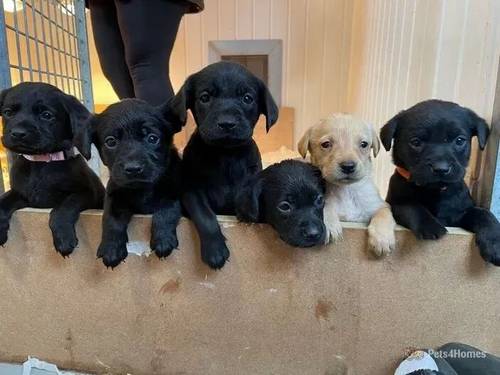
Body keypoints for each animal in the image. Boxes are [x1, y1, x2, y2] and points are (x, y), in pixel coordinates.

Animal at [0, 83, 104, 256]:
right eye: (8, 113)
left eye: (46, 115)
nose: (18, 133)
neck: (41, 163)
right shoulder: (22, 195)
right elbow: (3, 201)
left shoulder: (87, 193)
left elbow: (64, 206)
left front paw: (64, 238)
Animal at [81, 98, 183, 268]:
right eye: (111, 141)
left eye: (152, 138)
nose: (133, 168)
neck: (141, 189)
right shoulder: (114, 195)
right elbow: (111, 219)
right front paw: (111, 249)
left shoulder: (174, 191)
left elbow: (166, 210)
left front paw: (163, 240)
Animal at [170, 61, 280, 268]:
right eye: (205, 97)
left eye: (247, 98)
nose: (227, 123)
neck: (226, 155)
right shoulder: (191, 191)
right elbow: (205, 216)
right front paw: (215, 250)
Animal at [298, 113, 396, 258]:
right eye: (326, 144)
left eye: (364, 144)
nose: (348, 166)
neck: (347, 190)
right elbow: (326, 206)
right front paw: (330, 225)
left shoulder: (380, 205)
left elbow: (383, 215)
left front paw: (382, 238)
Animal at [378, 98, 500, 266]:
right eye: (416, 142)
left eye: (459, 140)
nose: (441, 168)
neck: (435, 190)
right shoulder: (395, 203)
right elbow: (412, 206)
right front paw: (431, 226)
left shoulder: (460, 214)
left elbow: (483, 213)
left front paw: (495, 242)